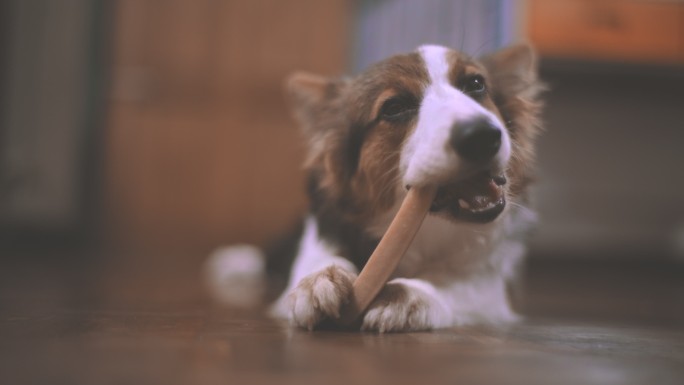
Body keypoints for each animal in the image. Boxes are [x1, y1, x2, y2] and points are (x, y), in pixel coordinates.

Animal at [206, 42, 544, 330]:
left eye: (476, 84)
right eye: (394, 108)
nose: (481, 136)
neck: (428, 233)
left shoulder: (490, 287)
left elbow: (458, 287)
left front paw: (411, 294)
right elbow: (313, 264)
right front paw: (317, 280)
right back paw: (235, 261)